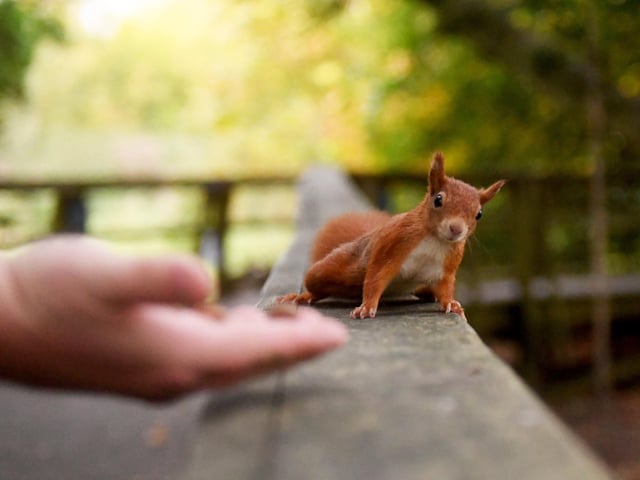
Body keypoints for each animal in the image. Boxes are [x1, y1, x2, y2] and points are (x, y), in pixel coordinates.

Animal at [276, 152, 505, 319]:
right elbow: (375, 278)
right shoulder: (391, 245)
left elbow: (446, 287)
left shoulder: (447, 267)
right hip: (330, 270)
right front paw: (367, 307)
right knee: (317, 286)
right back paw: (300, 297)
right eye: (438, 199)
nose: (456, 229)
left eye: (479, 214)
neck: (435, 241)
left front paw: (451, 303)